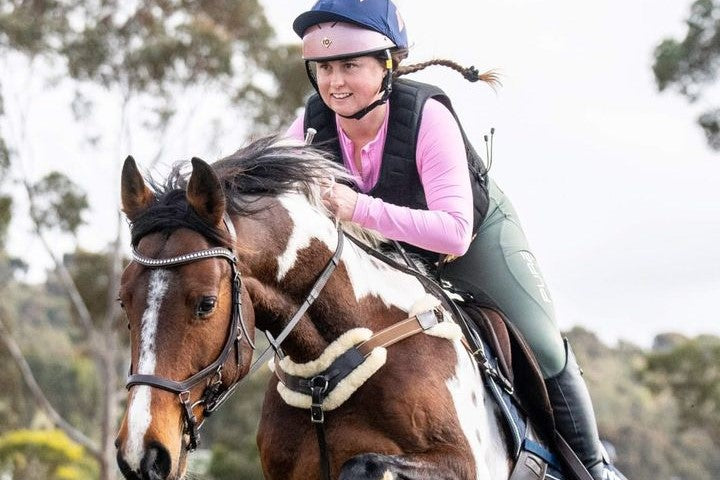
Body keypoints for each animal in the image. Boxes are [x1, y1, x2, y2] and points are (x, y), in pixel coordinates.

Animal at [115, 135, 516, 480]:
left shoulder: (463, 465)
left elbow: (363, 464)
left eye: (206, 304)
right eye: (123, 302)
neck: (326, 377)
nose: (141, 456)